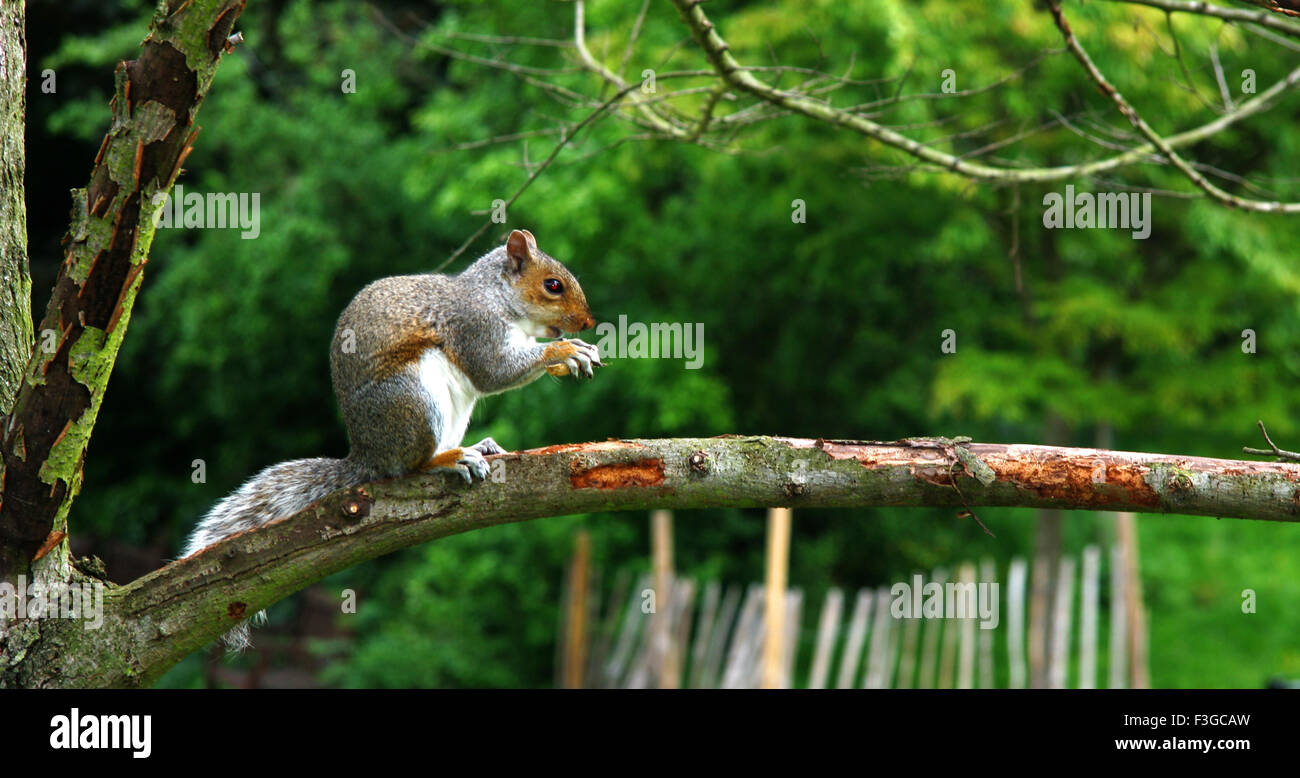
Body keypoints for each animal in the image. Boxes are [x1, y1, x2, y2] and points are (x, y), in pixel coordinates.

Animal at [180, 230, 600, 653]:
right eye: (553, 285)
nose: (588, 321)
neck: (496, 296)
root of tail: (368, 454)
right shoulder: (475, 327)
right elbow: (494, 372)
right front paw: (565, 350)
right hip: (413, 398)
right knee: (411, 465)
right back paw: (450, 460)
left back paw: (475, 448)